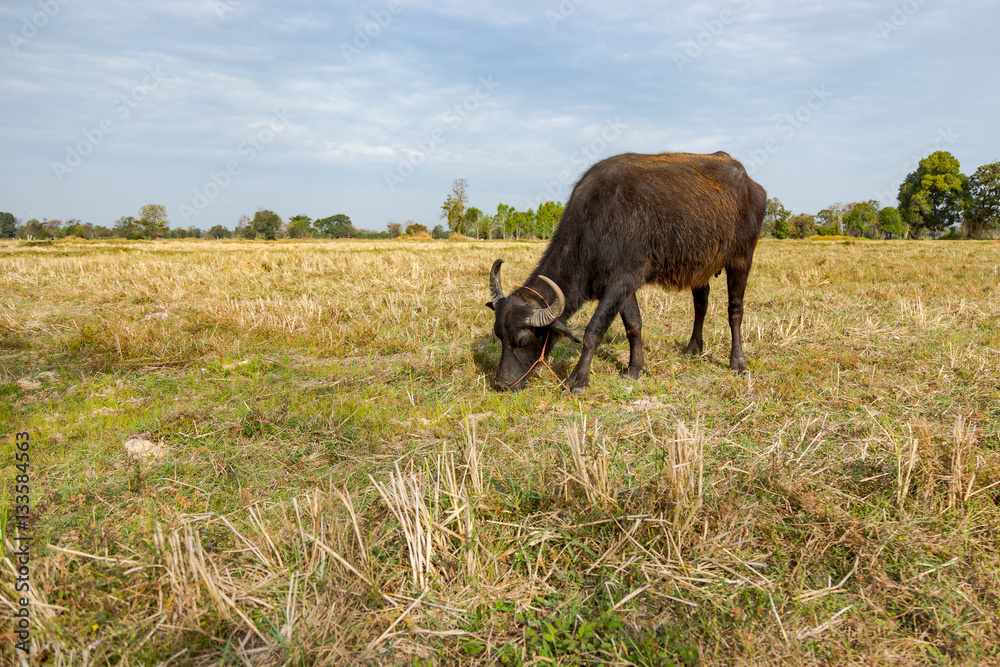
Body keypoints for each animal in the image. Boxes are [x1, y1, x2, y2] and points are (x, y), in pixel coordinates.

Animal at [484, 151, 764, 392]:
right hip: (700, 268)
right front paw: (634, 369)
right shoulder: (624, 285)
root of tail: (753, 186)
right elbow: (634, 326)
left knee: (735, 311)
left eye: (523, 340)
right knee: (701, 304)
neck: (599, 222)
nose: (501, 383)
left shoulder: (620, 283)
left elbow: (593, 331)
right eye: (499, 336)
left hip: (741, 259)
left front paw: (578, 380)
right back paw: (693, 348)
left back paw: (738, 362)